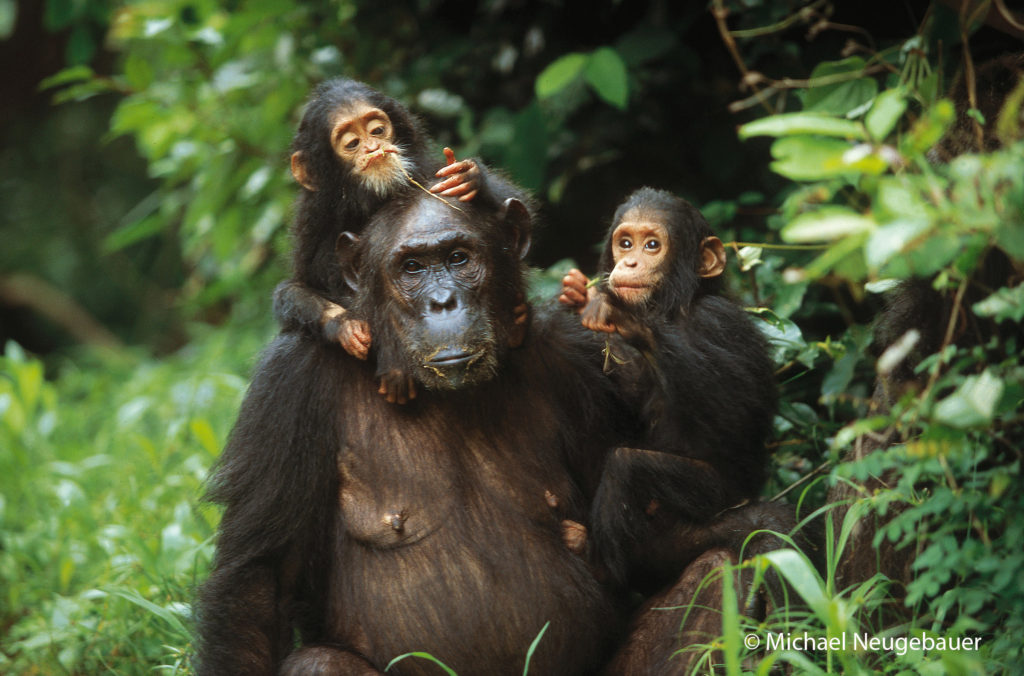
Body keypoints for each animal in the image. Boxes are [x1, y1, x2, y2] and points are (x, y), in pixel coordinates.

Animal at [194, 192, 622, 676]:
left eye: (458, 258)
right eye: (412, 268)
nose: (443, 301)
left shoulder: (580, 361)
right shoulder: (287, 383)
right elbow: (260, 578)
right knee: (318, 662)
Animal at [272, 77, 528, 401]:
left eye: (377, 129)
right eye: (351, 143)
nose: (374, 147)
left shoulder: (427, 170)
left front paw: (469, 176)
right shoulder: (312, 223)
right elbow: (293, 289)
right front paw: (344, 325)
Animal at [557, 187, 778, 589]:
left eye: (652, 245)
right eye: (625, 243)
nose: (629, 263)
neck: (675, 310)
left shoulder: (719, 321)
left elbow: (735, 412)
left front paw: (627, 318)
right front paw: (579, 298)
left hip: (714, 498)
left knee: (627, 466)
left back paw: (599, 563)